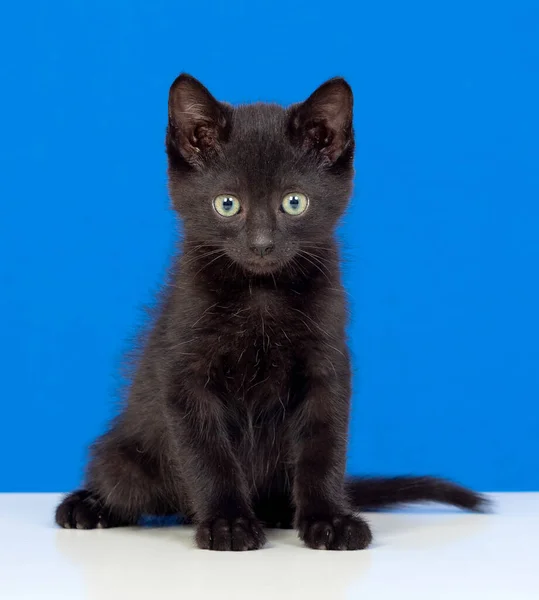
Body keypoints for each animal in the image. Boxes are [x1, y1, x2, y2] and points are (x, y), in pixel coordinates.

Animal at [57, 74, 488, 548]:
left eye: (294, 202)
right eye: (227, 204)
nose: (261, 244)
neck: (260, 294)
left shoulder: (327, 364)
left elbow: (324, 447)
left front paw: (329, 519)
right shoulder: (183, 371)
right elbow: (208, 454)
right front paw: (228, 523)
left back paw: (283, 510)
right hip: (126, 454)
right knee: (122, 483)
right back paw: (87, 505)